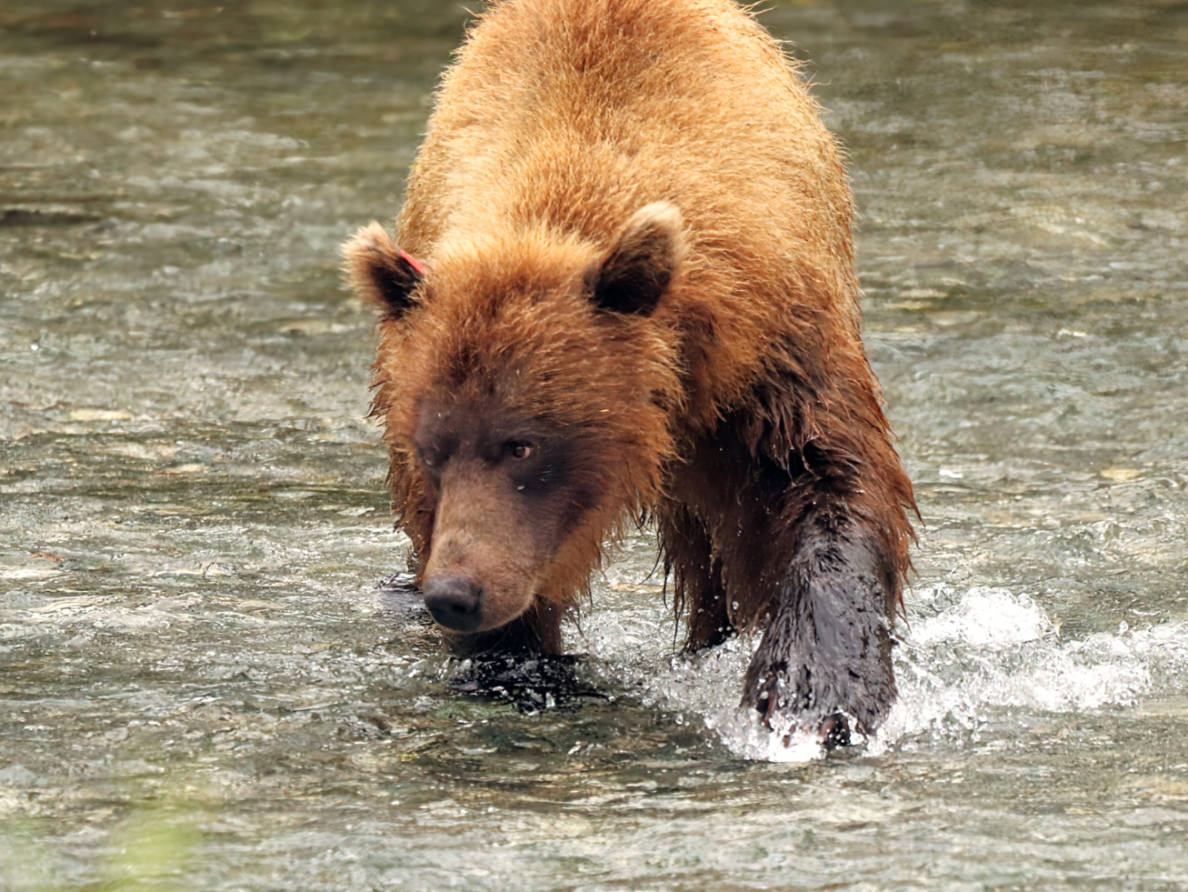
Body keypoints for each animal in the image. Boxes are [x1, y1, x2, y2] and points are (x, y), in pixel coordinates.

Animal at [343, 0, 916, 743]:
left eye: (523, 444)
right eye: (429, 447)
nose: (454, 595)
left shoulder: (771, 357)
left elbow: (827, 481)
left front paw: (808, 691)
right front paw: (523, 670)